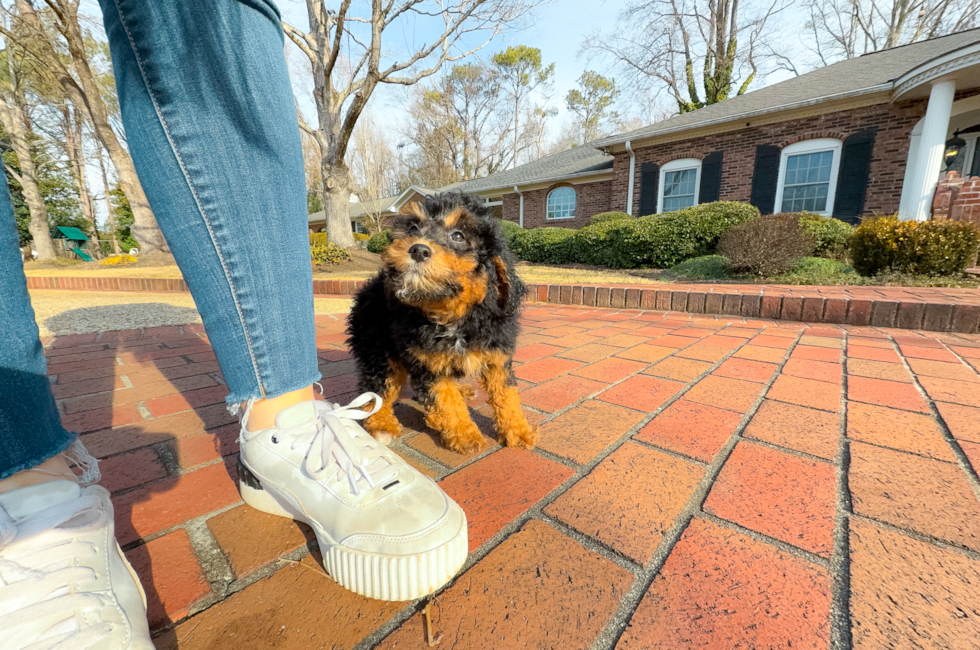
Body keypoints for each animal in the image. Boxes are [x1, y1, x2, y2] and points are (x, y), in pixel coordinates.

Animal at [348, 189, 540, 450]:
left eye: (458, 235)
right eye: (413, 229)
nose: (418, 250)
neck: (453, 315)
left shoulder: (497, 355)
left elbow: (506, 394)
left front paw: (518, 431)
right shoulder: (428, 363)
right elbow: (446, 399)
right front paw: (465, 435)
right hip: (376, 348)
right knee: (377, 389)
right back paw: (381, 425)